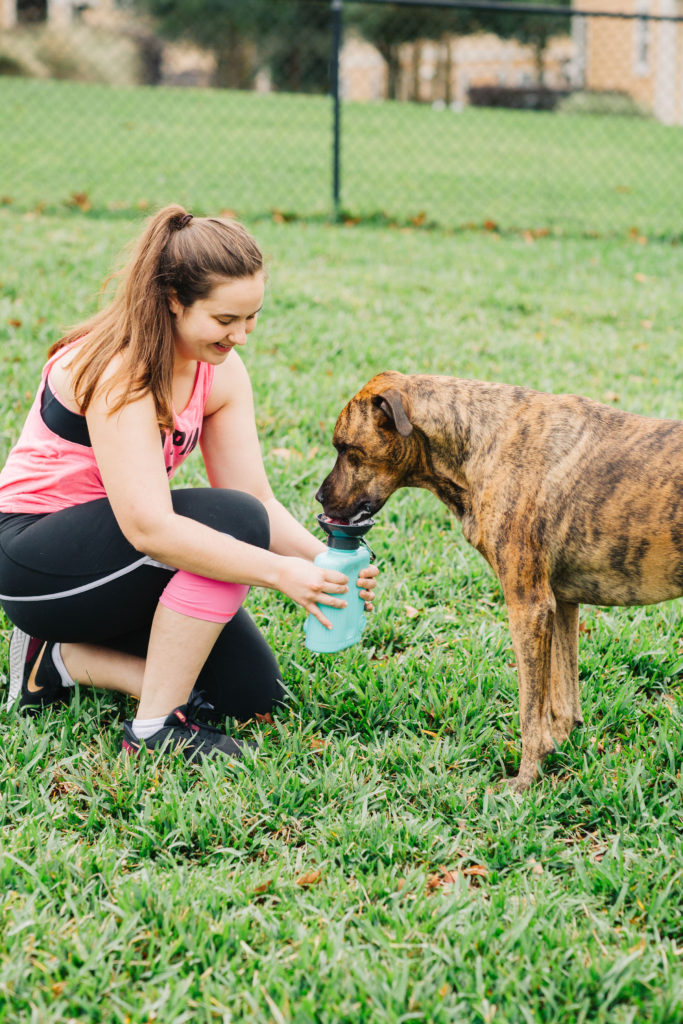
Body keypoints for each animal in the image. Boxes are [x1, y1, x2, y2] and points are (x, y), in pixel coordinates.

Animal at [317, 370, 683, 790]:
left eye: (346, 449)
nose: (318, 498)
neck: (482, 440)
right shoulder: (561, 605)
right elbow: (563, 701)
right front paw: (557, 752)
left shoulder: (529, 608)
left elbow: (530, 710)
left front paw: (525, 782)